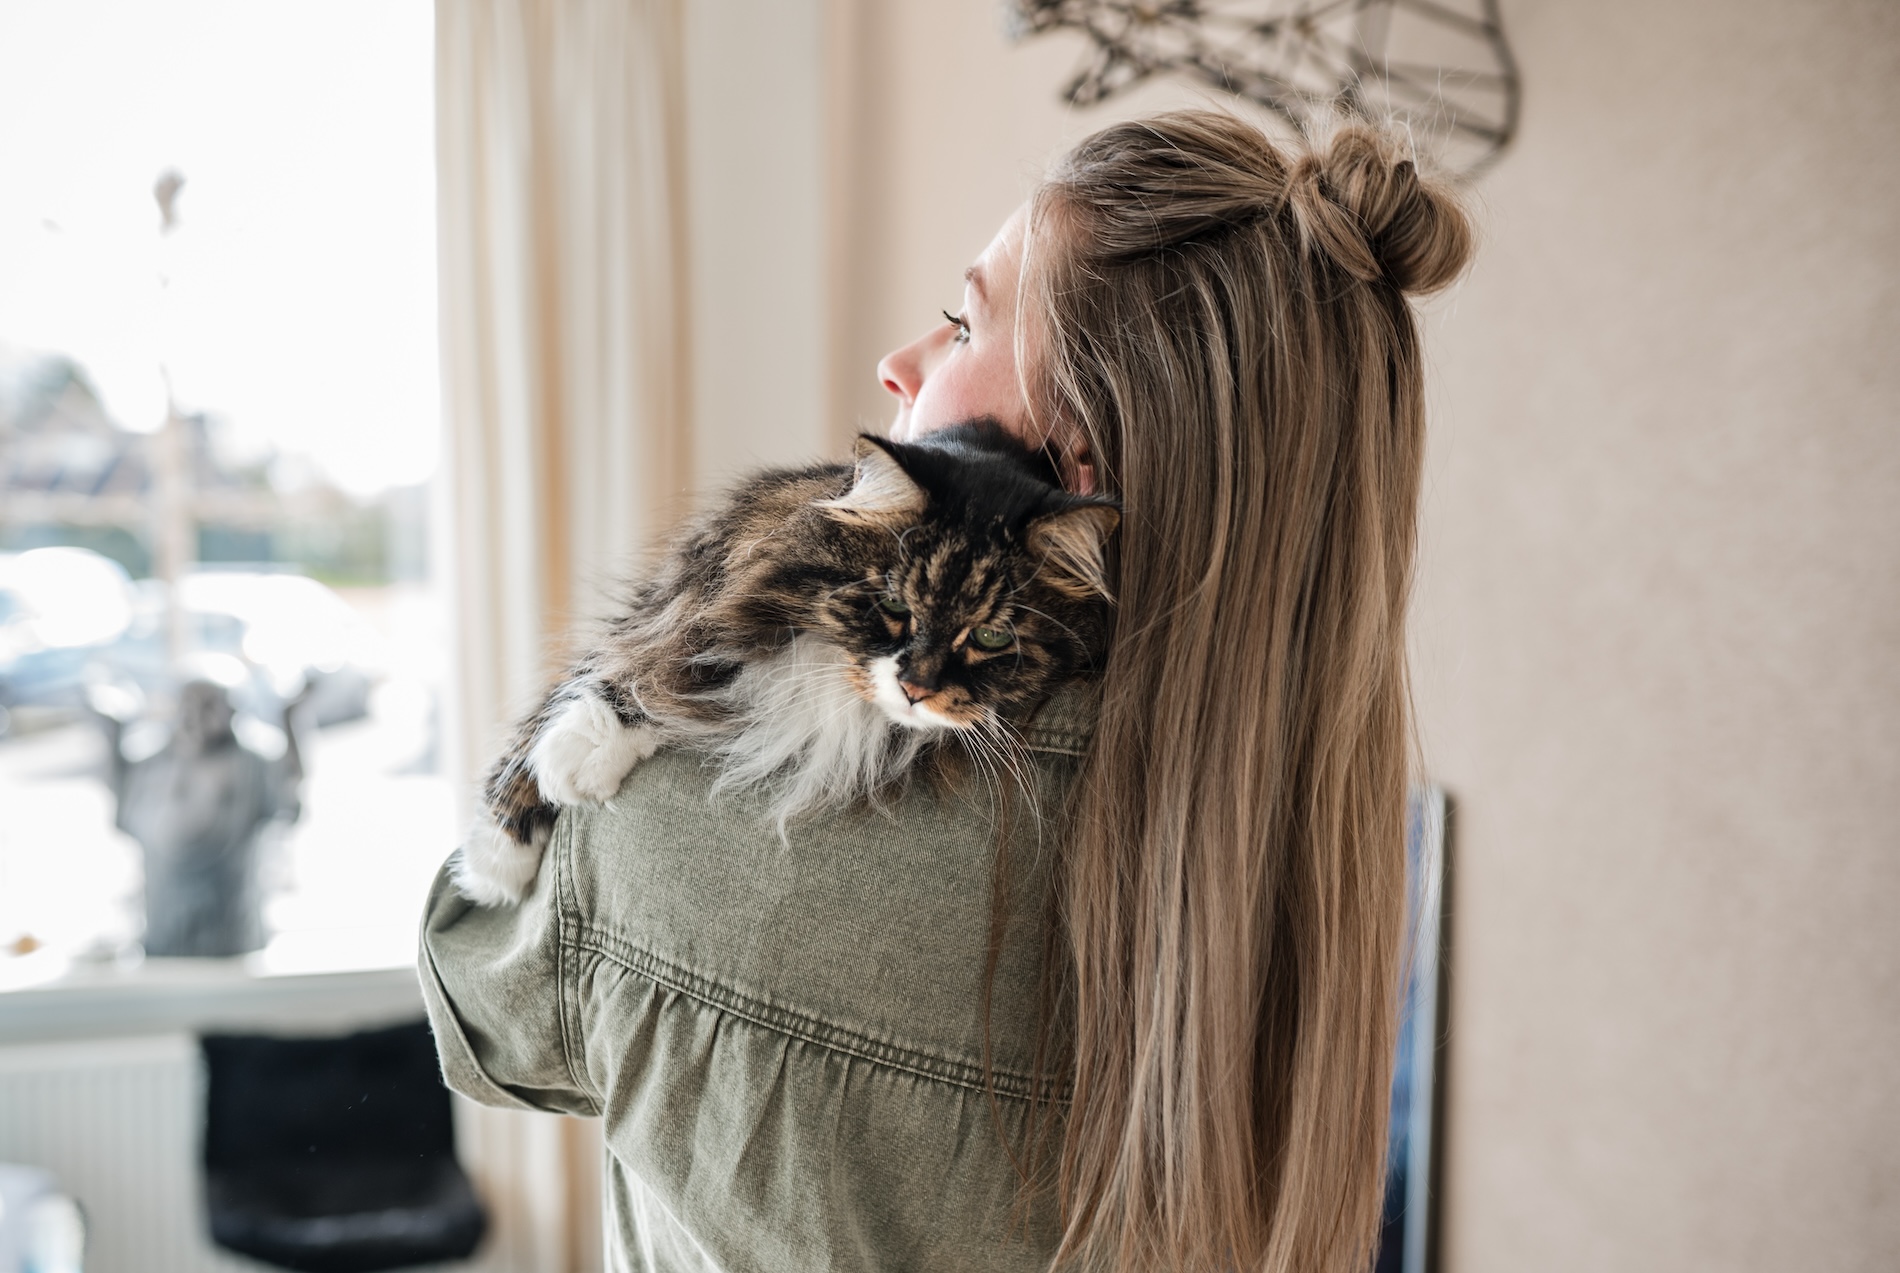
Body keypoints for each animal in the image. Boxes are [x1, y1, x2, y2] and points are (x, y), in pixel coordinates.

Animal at [454, 418, 1117, 908]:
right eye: (893, 605)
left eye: (991, 635)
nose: (915, 687)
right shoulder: (694, 591)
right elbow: (623, 672)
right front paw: (496, 860)